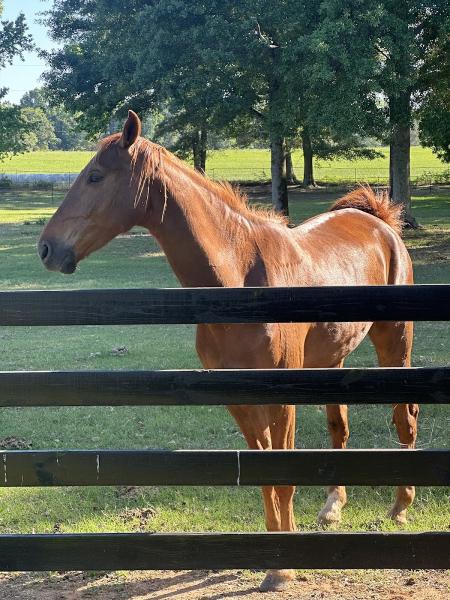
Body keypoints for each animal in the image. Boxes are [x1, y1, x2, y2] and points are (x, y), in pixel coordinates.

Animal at [37, 111, 418, 592]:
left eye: (95, 176)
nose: (47, 248)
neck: (239, 280)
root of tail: (378, 221)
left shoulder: (280, 398)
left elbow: (283, 475)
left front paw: (284, 566)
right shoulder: (237, 398)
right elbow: (261, 474)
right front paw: (275, 558)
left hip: (395, 343)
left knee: (405, 417)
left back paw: (401, 506)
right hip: (333, 359)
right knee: (339, 425)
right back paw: (332, 506)